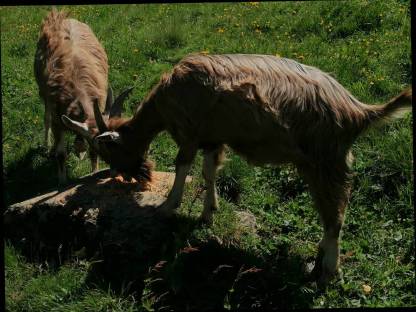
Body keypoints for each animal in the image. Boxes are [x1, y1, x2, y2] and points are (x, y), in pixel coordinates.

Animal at [35, 9, 132, 184]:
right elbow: (61, 154)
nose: (117, 170)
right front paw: (62, 182)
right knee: (46, 117)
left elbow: (90, 154)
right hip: (44, 96)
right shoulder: (58, 118)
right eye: (103, 146)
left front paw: (94, 171)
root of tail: (62, 17)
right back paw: (47, 146)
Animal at [62, 53, 412, 286]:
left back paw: (328, 270)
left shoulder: (189, 134)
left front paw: (168, 206)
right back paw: (318, 261)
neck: (166, 98)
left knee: (335, 215)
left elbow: (182, 166)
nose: (127, 176)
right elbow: (208, 171)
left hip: (325, 162)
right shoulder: (212, 139)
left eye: (108, 149)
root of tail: (358, 111)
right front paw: (208, 212)